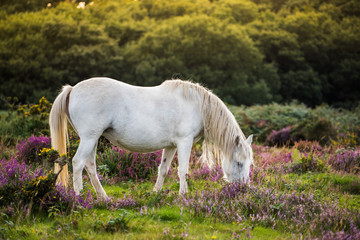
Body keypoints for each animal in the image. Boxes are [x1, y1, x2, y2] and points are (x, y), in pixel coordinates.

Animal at [50, 78, 253, 198]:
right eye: (239, 163)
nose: (243, 189)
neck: (197, 105)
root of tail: (72, 89)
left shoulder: (171, 146)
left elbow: (163, 169)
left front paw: (156, 193)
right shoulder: (184, 142)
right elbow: (183, 170)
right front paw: (183, 195)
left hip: (92, 140)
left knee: (90, 165)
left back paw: (103, 197)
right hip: (89, 138)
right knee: (77, 163)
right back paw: (79, 195)